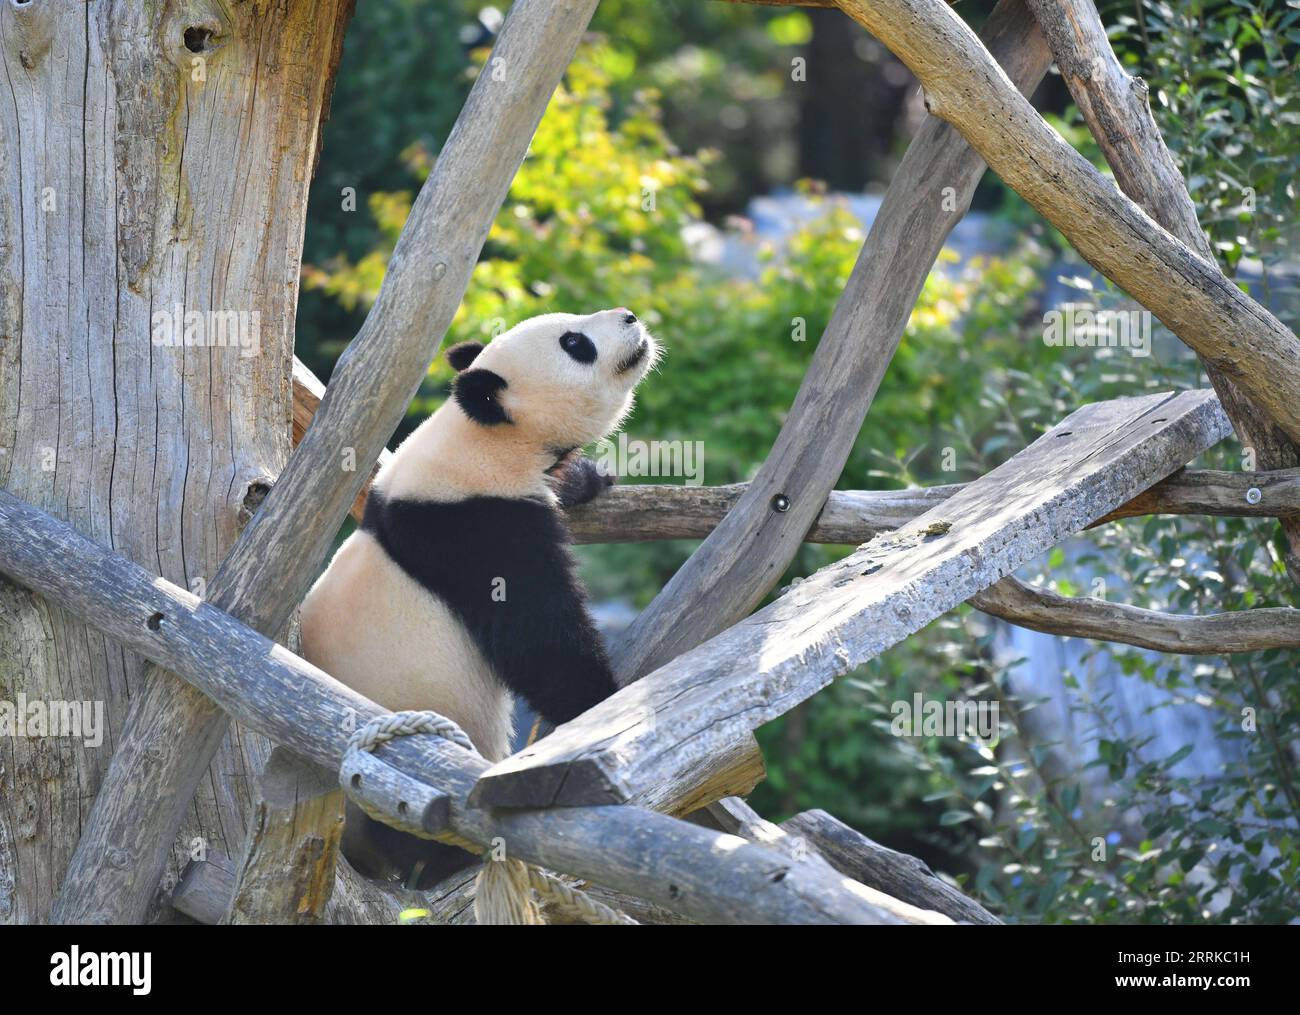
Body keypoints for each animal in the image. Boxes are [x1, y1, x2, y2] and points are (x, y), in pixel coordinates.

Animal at [300, 308, 658, 888]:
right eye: (575, 343)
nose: (630, 317)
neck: (482, 436)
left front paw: (588, 477)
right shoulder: (477, 525)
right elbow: (540, 641)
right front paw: (599, 702)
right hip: (400, 776)